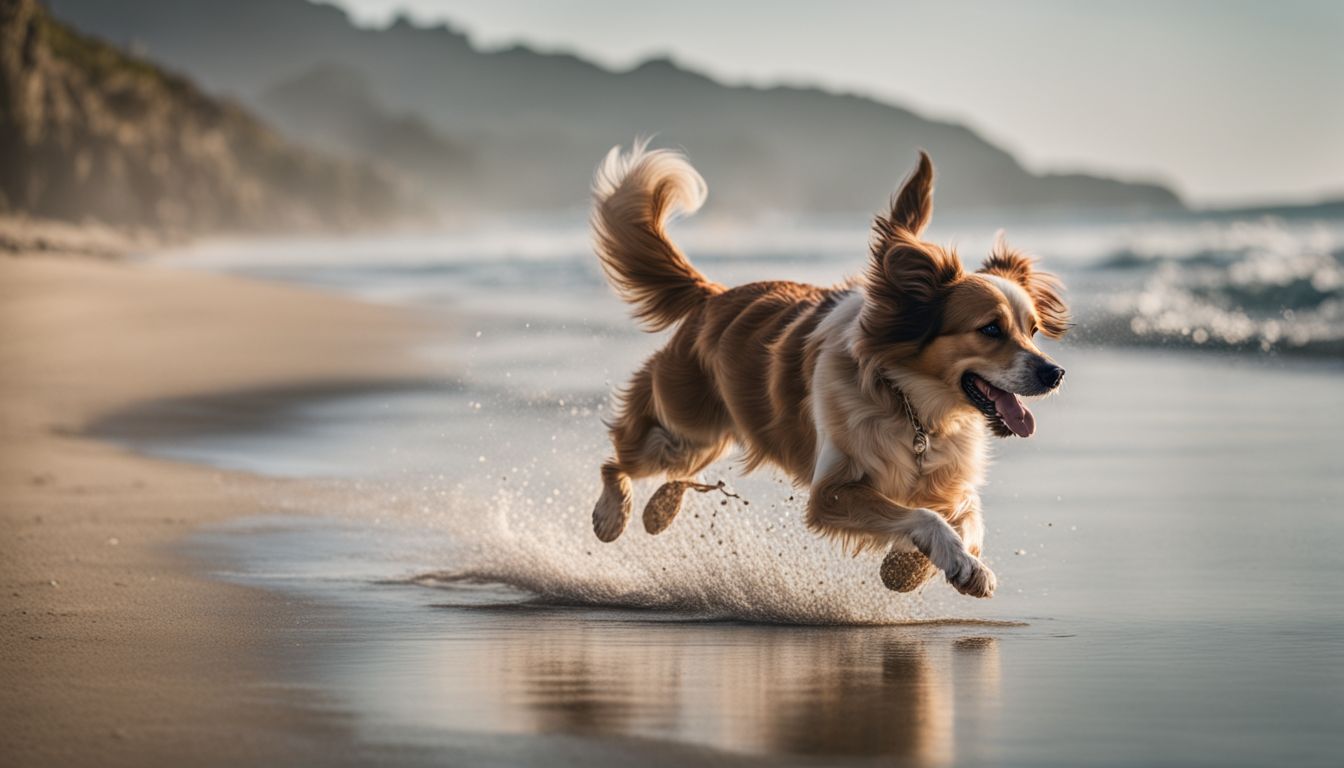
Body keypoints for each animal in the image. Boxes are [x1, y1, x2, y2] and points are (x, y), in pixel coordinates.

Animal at [588, 143, 1069, 599]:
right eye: (990, 329)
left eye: (1033, 330)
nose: (1054, 373)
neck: (914, 406)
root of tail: (714, 294)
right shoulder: (833, 492)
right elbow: (924, 515)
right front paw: (940, 558)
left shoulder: (949, 481)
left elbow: (969, 517)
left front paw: (924, 568)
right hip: (684, 427)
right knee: (618, 458)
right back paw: (613, 514)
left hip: (705, 439)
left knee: (674, 472)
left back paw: (660, 510)